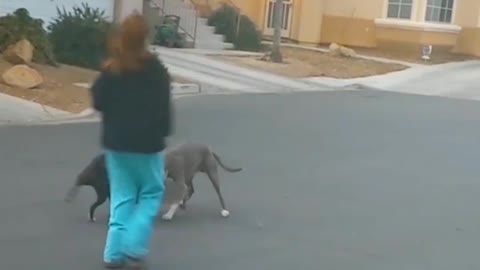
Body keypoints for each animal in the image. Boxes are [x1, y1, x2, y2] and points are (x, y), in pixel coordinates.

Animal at [65, 142, 242, 220]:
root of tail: (209, 148)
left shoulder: (176, 181)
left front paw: (168, 213)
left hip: (211, 173)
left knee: (217, 192)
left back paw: (224, 210)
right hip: (189, 175)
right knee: (191, 189)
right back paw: (183, 203)